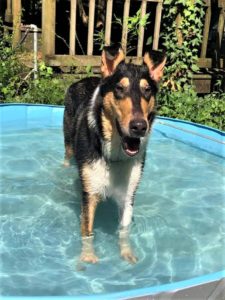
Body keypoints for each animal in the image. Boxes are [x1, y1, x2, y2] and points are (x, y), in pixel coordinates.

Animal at [62, 45, 165, 264]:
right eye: (119, 88)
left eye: (147, 90)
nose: (139, 127)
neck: (115, 155)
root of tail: (84, 79)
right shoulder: (90, 193)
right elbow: (87, 231)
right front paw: (88, 256)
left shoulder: (128, 196)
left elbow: (124, 230)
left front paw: (127, 253)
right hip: (67, 139)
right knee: (67, 154)